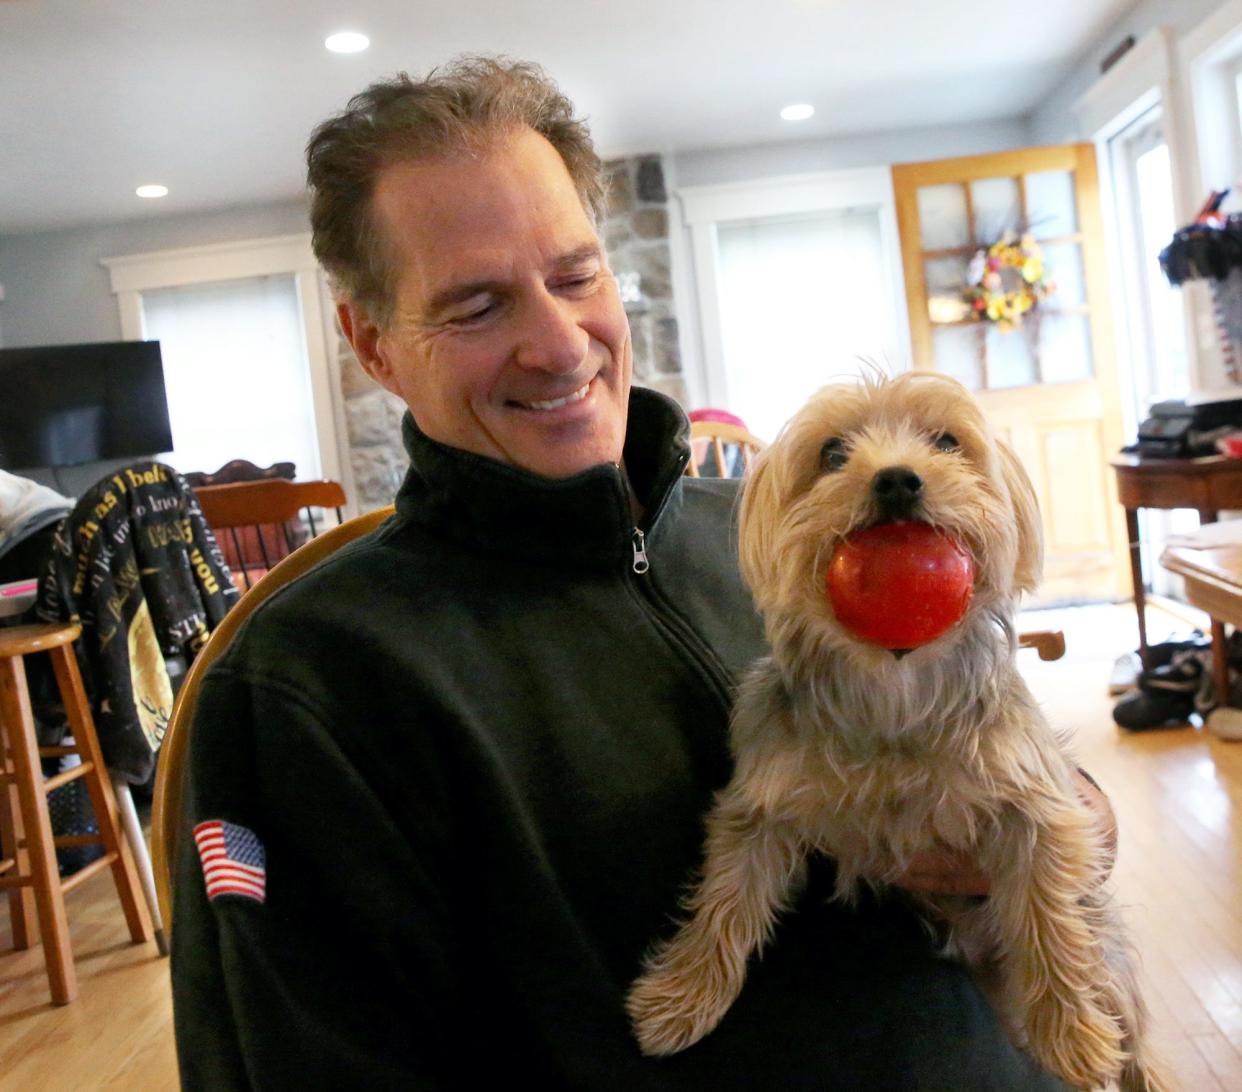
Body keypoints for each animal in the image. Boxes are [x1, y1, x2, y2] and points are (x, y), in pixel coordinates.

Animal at [625, 372, 1167, 1092]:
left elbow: (1049, 919)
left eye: (947, 441)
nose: (897, 480)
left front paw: (1073, 1034)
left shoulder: (1036, 808)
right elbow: (726, 898)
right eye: (832, 453)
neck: (894, 679)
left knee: (1129, 1025)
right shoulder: (762, 805)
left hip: (1110, 954)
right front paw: (681, 999)